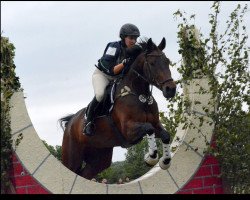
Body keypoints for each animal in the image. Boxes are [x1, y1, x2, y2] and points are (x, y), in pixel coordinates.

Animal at [59, 38, 176, 180]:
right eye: (152, 63)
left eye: (167, 62)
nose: (170, 89)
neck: (139, 94)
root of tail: (70, 122)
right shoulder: (128, 129)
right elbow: (149, 128)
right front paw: (151, 158)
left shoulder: (156, 124)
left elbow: (165, 135)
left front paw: (165, 161)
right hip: (72, 156)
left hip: (99, 158)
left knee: (84, 174)